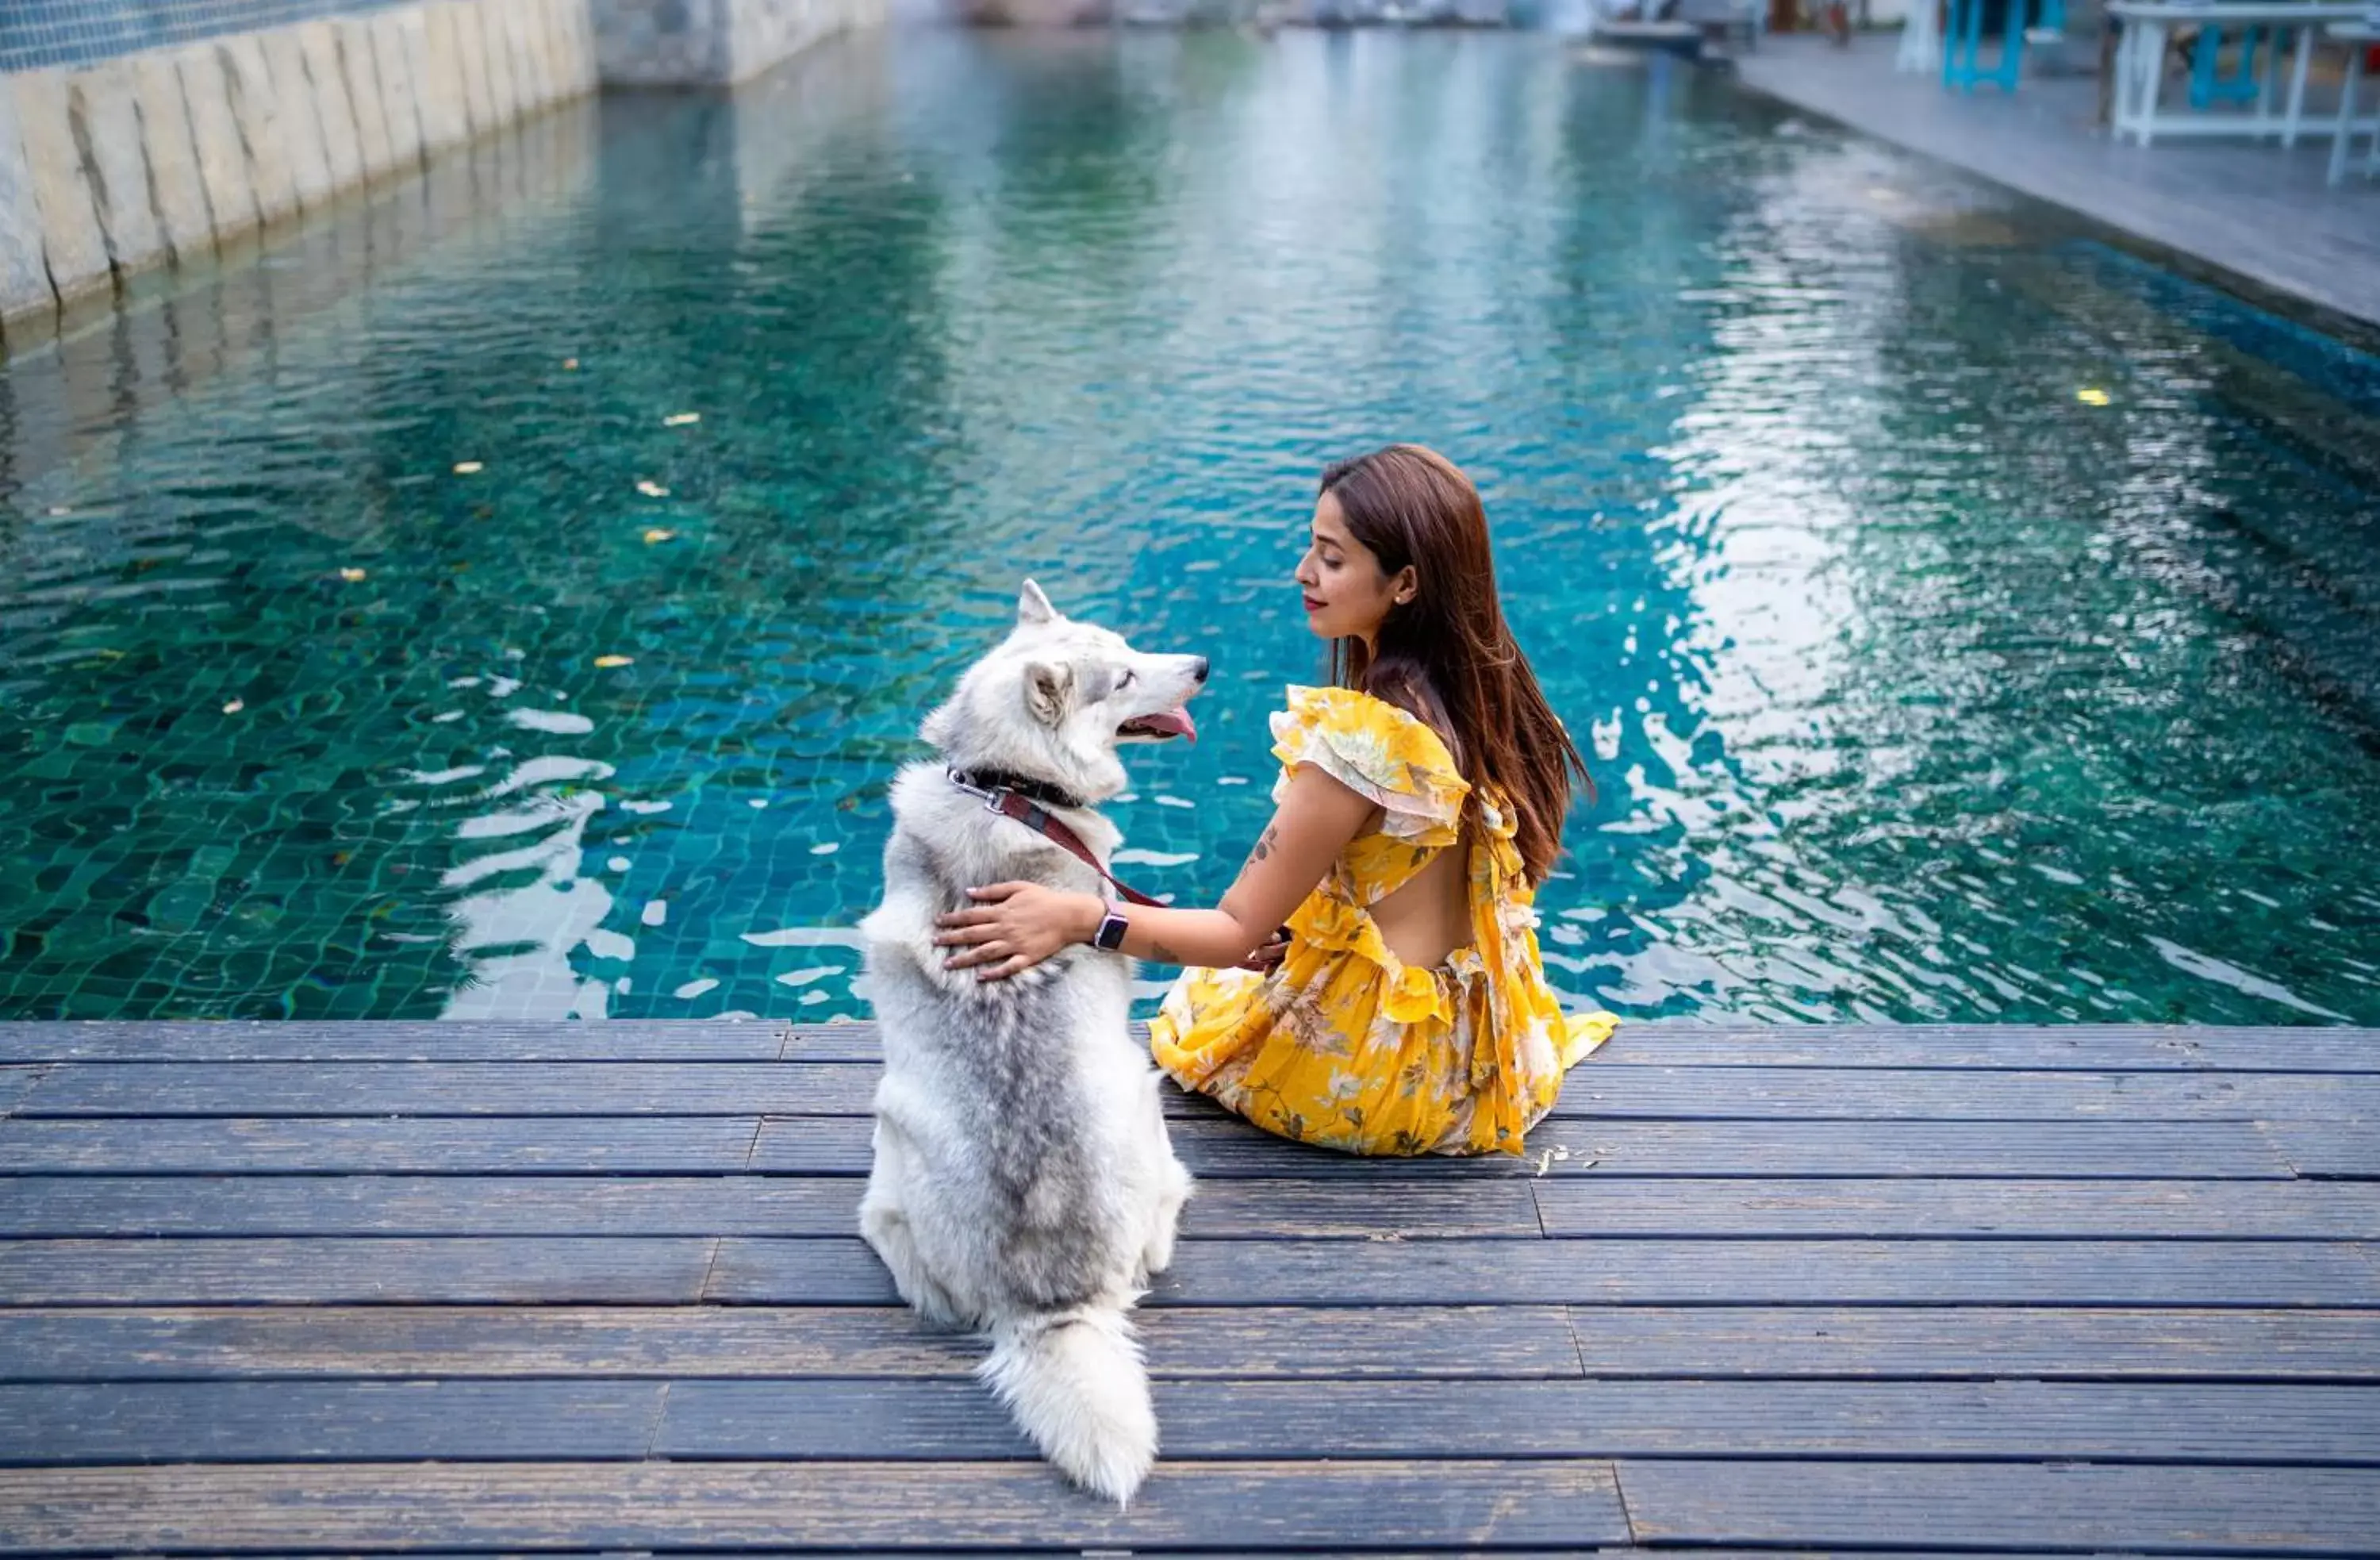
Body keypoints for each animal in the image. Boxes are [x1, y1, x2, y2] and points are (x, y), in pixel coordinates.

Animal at [857, 578, 1200, 1504]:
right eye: (1125, 677)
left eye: (1130, 647)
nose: (1201, 664)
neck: (1006, 785)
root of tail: (1052, 1302)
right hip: (1136, 1097)